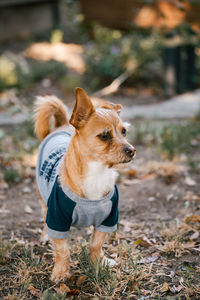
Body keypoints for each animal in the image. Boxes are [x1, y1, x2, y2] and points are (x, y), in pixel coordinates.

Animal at [34, 88, 136, 282]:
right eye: (104, 135)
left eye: (124, 132)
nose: (132, 150)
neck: (97, 173)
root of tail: (61, 126)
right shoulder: (56, 218)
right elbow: (62, 250)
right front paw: (61, 271)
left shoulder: (108, 219)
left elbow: (96, 244)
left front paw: (99, 263)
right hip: (44, 198)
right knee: (43, 215)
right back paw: (44, 236)